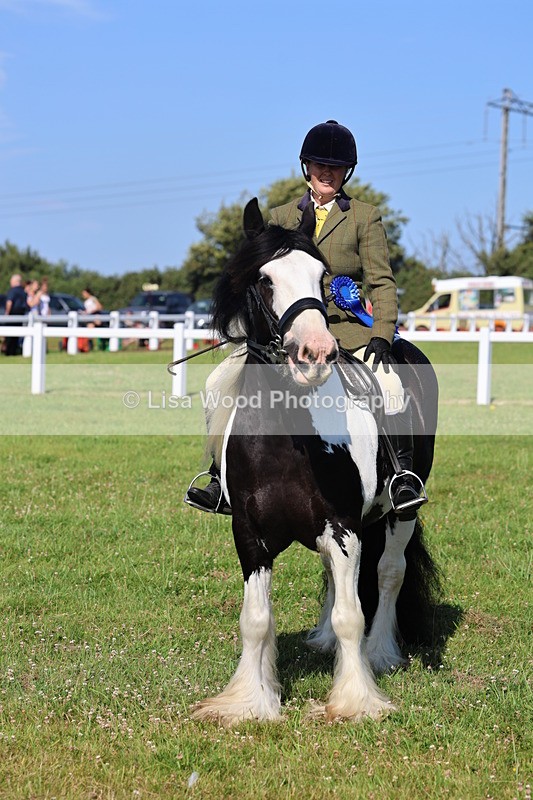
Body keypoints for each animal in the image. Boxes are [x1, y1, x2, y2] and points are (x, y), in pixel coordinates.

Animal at [191, 198, 440, 725]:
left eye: (323, 276)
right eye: (264, 279)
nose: (316, 354)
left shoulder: (344, 527)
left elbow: (353, 614)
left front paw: (355, 700)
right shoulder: (249, 534)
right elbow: (255, 619)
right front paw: (250, 701)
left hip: (402, 511)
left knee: (389, 573)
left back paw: (380, 653)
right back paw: (324, 640)